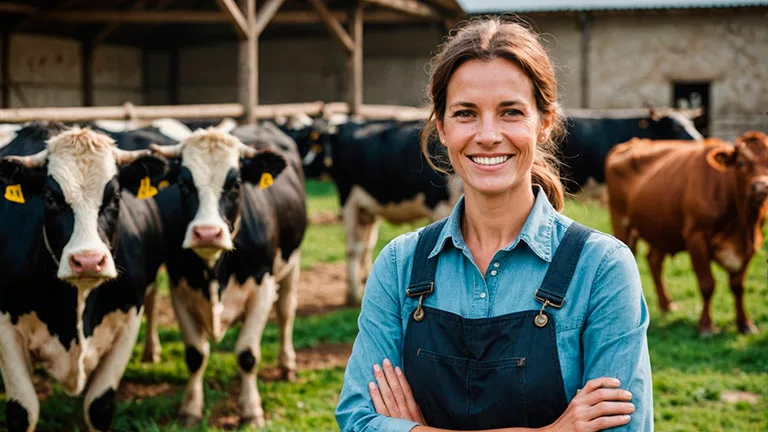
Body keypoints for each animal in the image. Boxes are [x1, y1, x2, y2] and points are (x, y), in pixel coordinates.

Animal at [0, 123, 168, 430]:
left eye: (115, 198)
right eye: (50, 199)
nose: (88, 261)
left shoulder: (128, 320)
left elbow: (98, 407)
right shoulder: (5, 326)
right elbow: (22, 411)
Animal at [148, 125, 308, 428]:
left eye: (235, 184)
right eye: (184, 185)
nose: (207, 233)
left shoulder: (263, 286)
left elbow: (247, 354)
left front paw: (251, 411)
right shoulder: (180, 288)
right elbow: (195, 355)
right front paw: (190, 410)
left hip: (291, 263)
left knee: (286, 312)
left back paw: (287, 364)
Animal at [288, 118, 460, 306]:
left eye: (305, 140)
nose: (298, 164)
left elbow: (366, 245)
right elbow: (359, 247)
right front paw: (356, 293)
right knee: (354, 248)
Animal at [608, 131, 768, 334]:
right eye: (740, 163)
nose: (762, 187)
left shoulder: (752, 243)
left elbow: (738, 285)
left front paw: (745, 324)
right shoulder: (696, 237)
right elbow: (707, 284)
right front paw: (706, 326)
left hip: (661, 227)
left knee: (654, 261)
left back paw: (667, 304)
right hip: (621, 221)